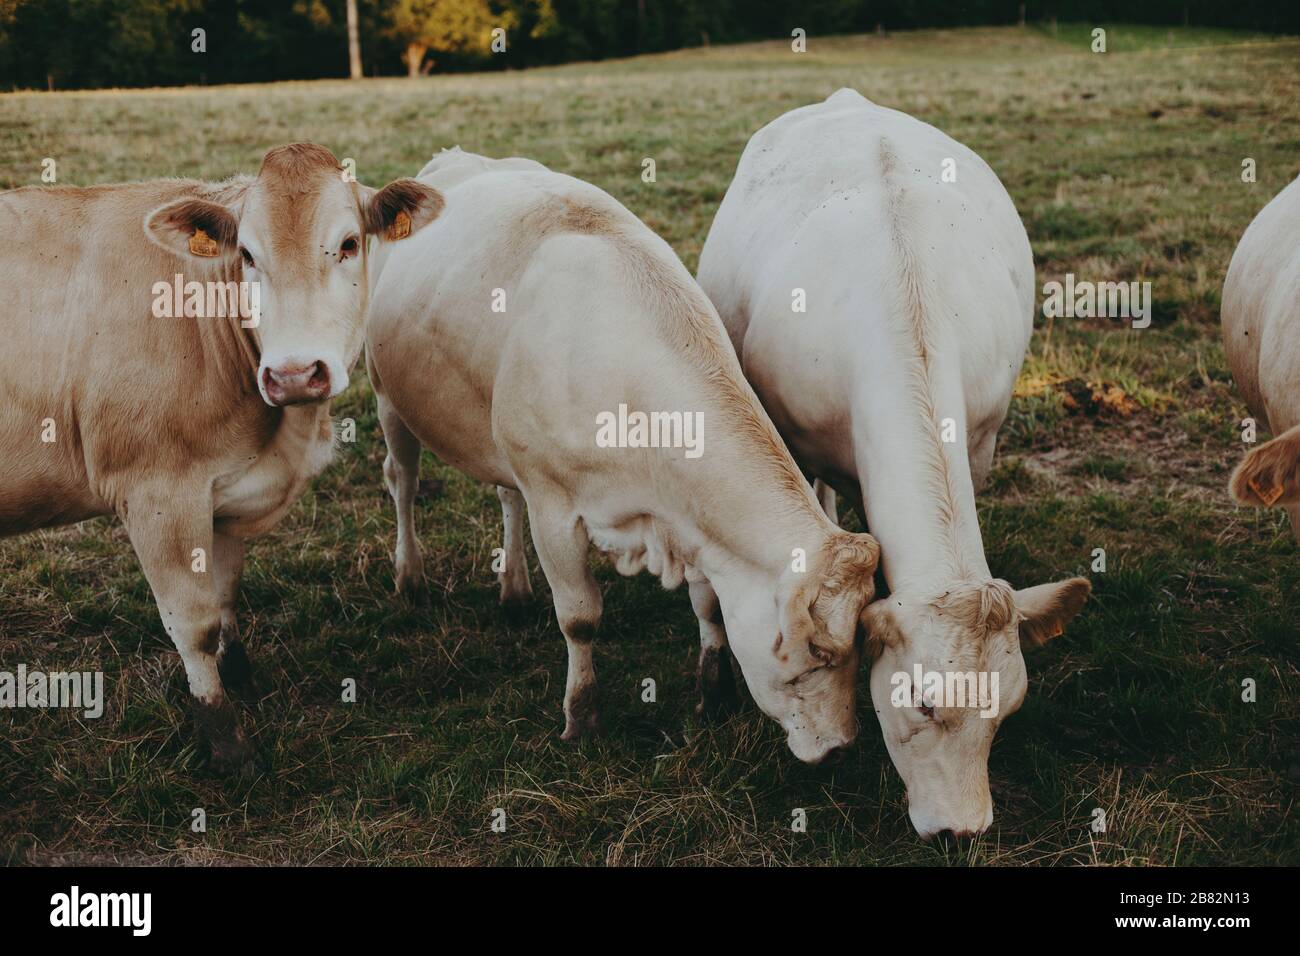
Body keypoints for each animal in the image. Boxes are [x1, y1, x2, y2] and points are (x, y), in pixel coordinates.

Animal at [0, 144, 442, 772]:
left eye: (349, 243)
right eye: (248, 255)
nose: (293, 373)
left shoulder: (228, 494)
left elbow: (226, 597)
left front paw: (240, 677)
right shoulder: (157, 494)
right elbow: (195, 625)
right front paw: (227, 741)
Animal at [365, 147, 881, 764]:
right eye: (812, 659)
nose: (841, 749)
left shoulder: (687, 520)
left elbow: (708, 603)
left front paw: (715, 690)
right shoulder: (554, 507)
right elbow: (580, 618)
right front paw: (582, 717)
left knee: (504, 494)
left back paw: (513, 589)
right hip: (388, 396)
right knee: (403, 480)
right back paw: (411, 576)